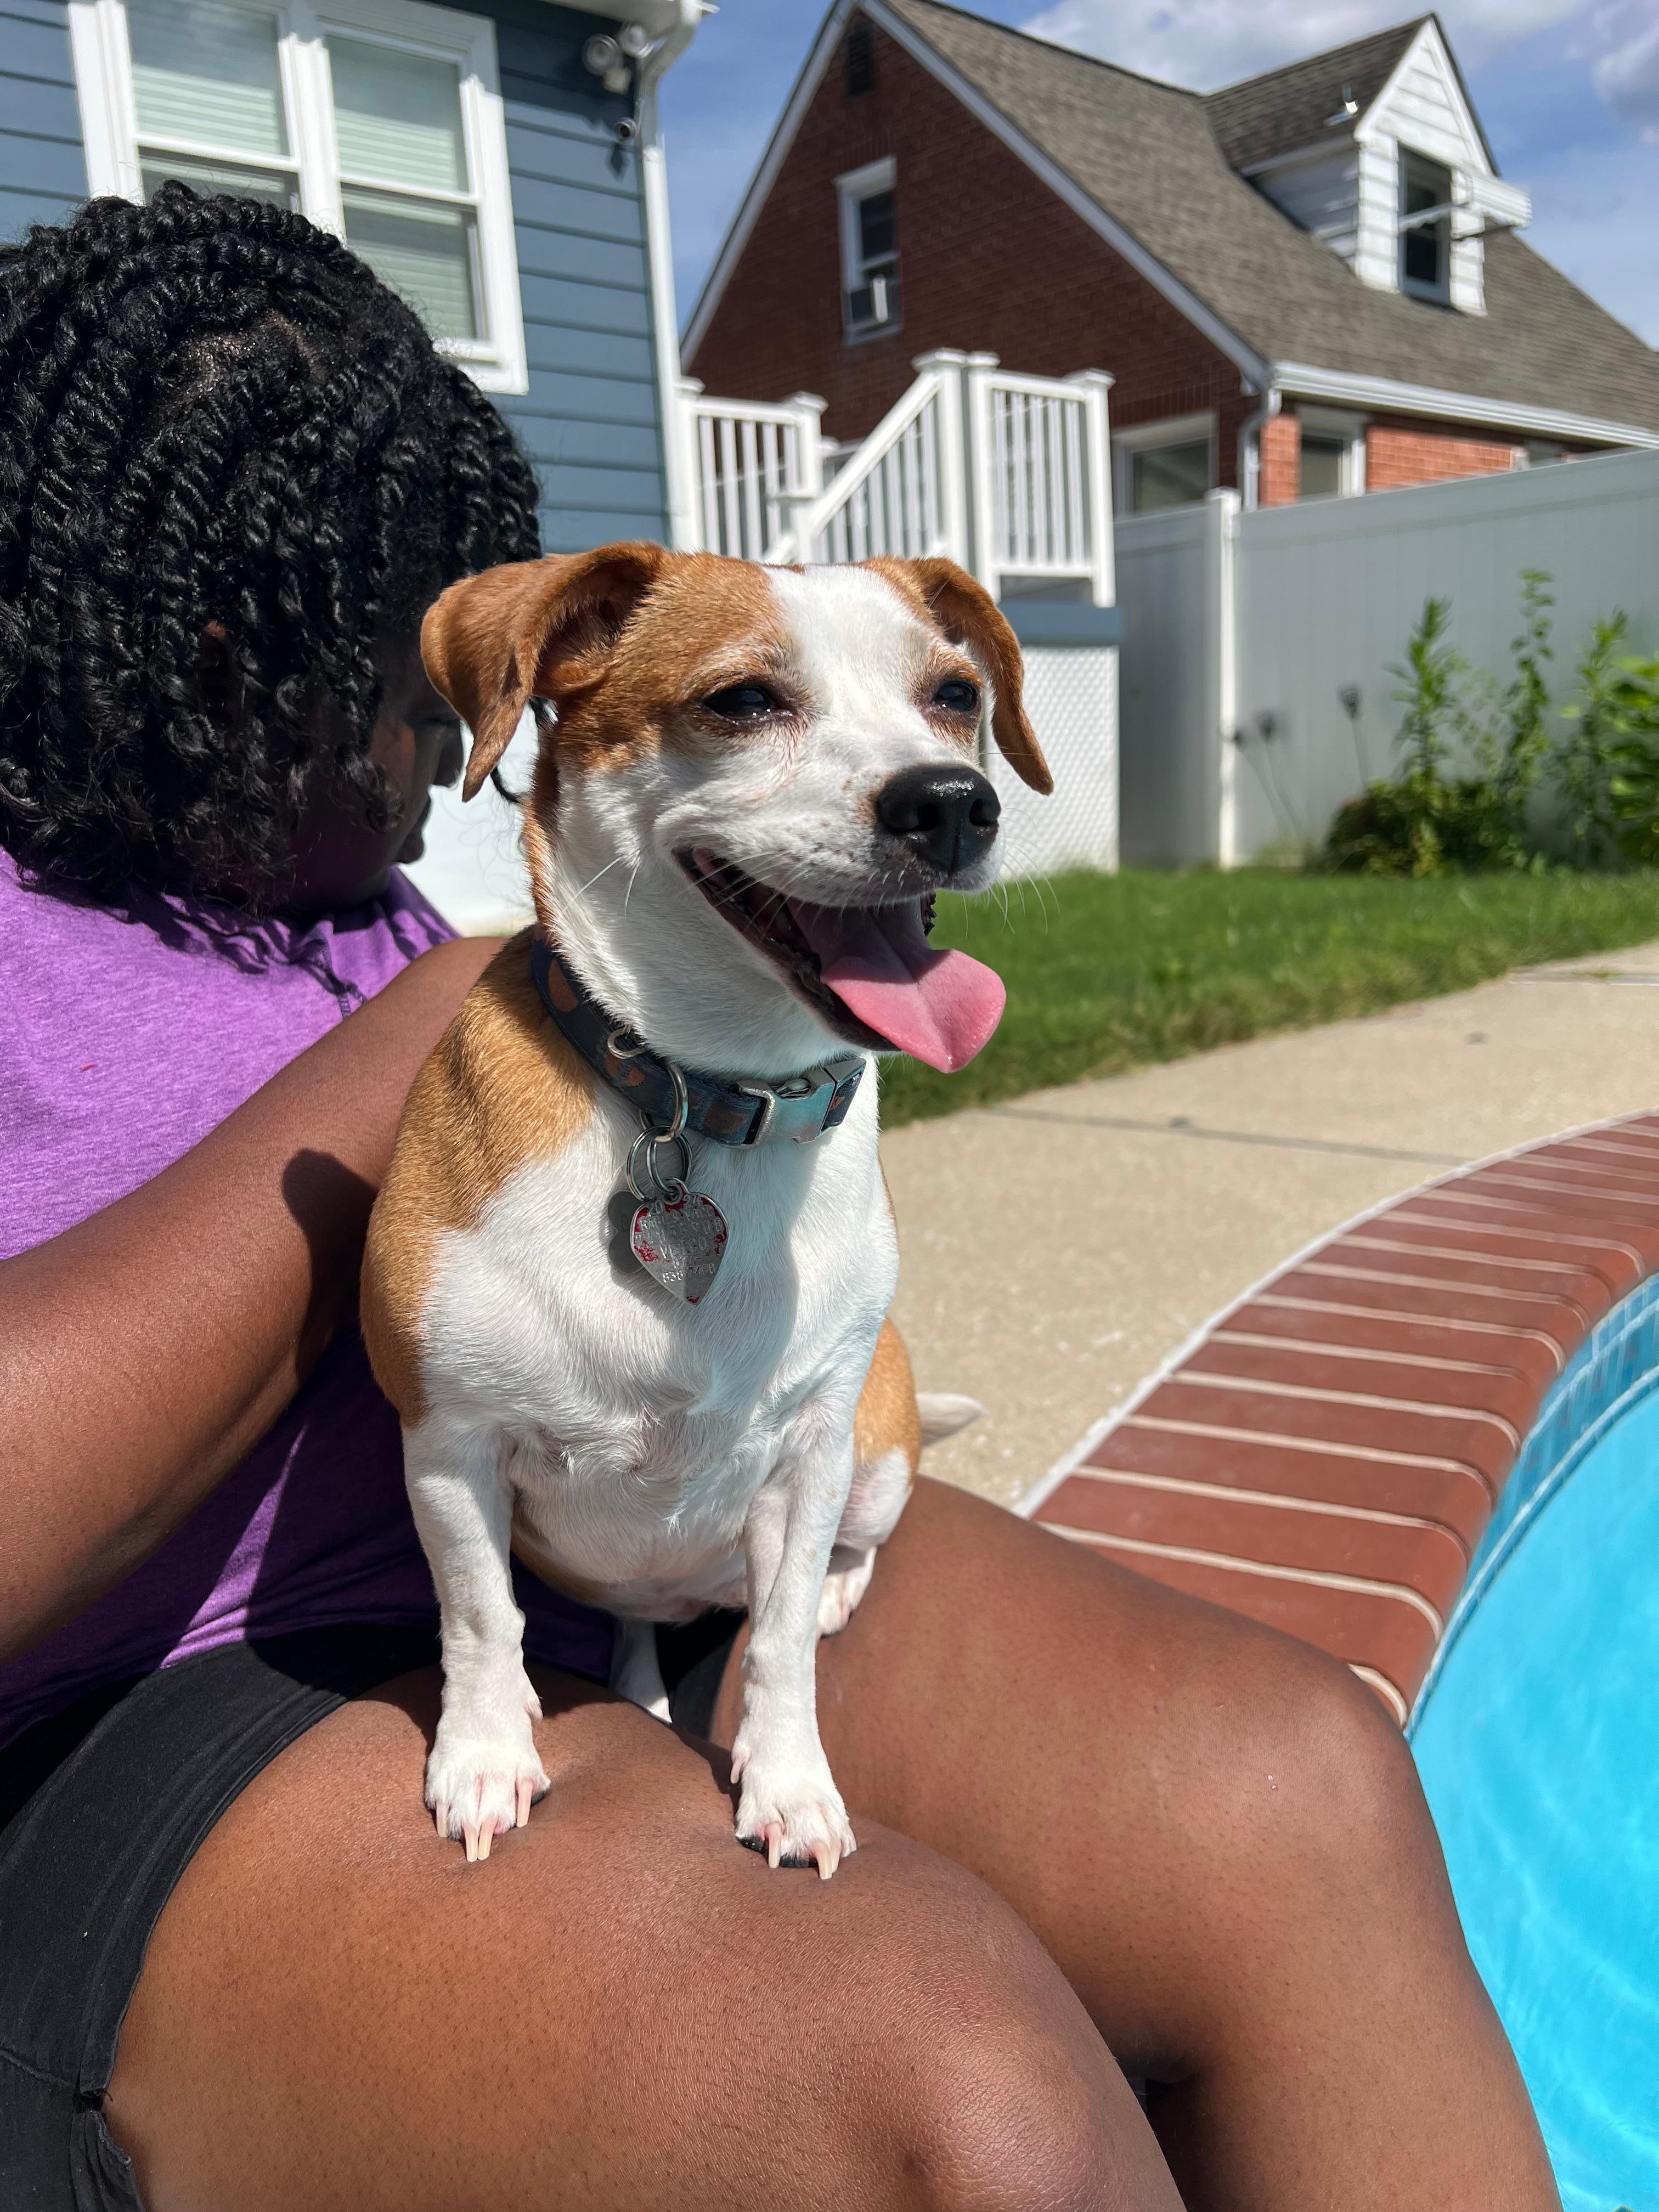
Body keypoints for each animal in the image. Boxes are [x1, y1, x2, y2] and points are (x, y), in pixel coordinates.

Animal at [360, 544, 1049, 1877]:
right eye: (740, 701)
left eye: (954, 696)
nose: (952, 802)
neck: (705, 1094)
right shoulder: (448, 1447)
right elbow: (478, 1618)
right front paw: (485, 1752)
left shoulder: (809, 1451)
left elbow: (776, 1646)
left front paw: (789, 1782)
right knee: (624, 1637)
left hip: (874, 1450)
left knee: (850, 1548)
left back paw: (834, 1586)